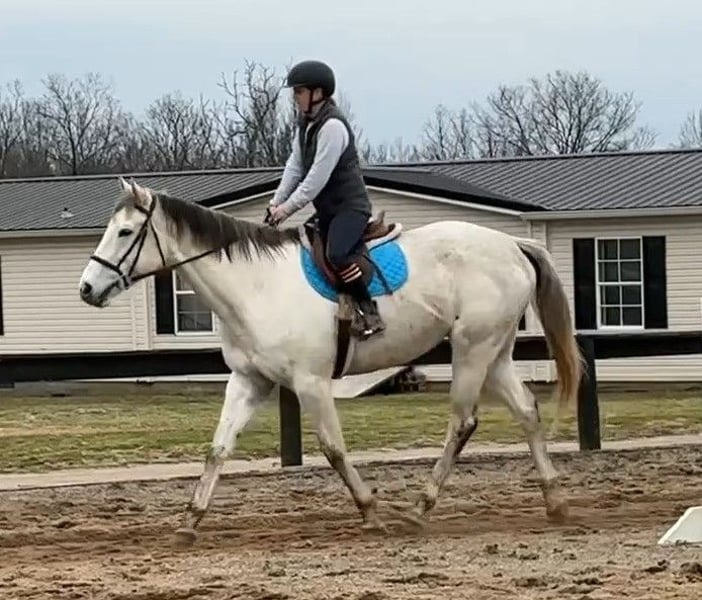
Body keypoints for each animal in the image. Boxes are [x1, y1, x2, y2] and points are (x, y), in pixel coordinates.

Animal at [78, 177, 582, 547]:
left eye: (125, 232)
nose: (86, 288)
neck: (256, 287)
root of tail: (512, 245)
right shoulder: (248, 382)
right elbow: (218, 449)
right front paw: (189, 521)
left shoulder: (311, 383)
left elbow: (334, 450)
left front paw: (371, 513)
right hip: (494, 352)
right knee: (527, 411)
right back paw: (555, 502)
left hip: (472, 350)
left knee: (462, 423)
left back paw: (419, 509)